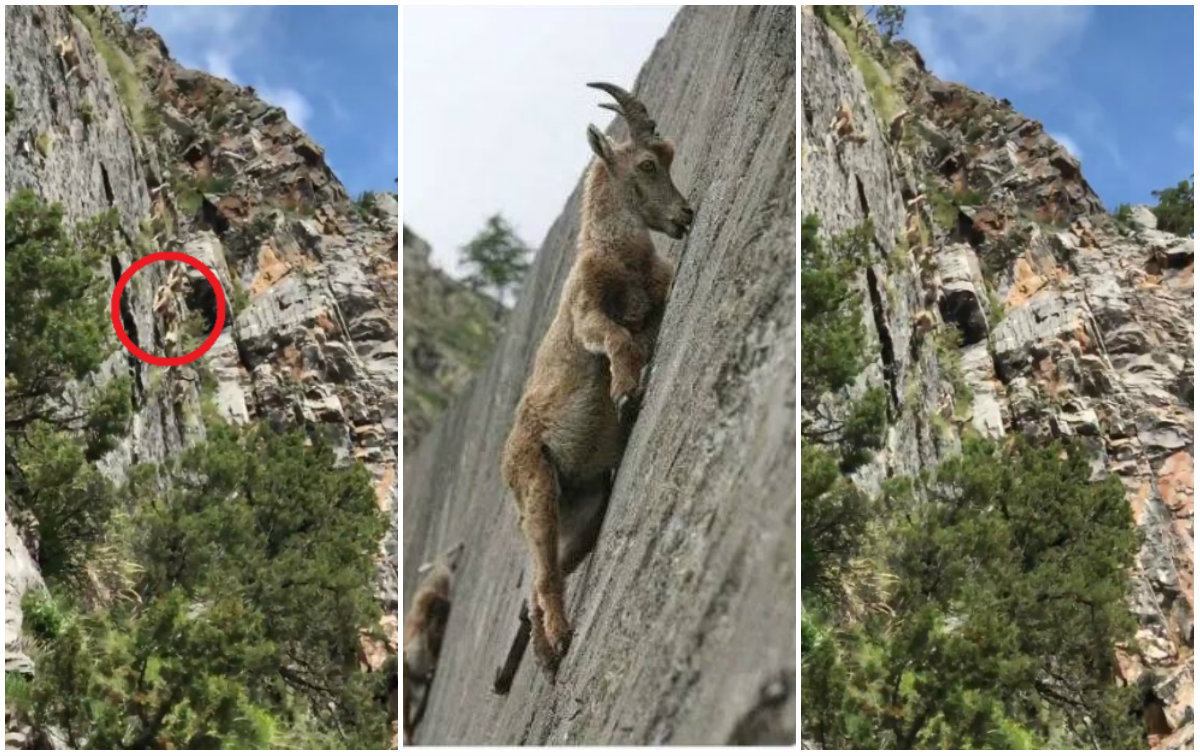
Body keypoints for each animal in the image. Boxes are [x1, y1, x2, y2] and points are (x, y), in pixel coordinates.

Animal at [496, 82, 693, 685]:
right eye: (648, 163)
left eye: (668, 157)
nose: (686, 215)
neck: (615, 253)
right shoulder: (586, 313)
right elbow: (618, 340)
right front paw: (627, 391)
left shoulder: (656, 290)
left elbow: (643, 325)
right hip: (537, 484)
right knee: (541, 577)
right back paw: (557, 642)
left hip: (584, 508)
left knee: (540, 583)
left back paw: (537, 654)